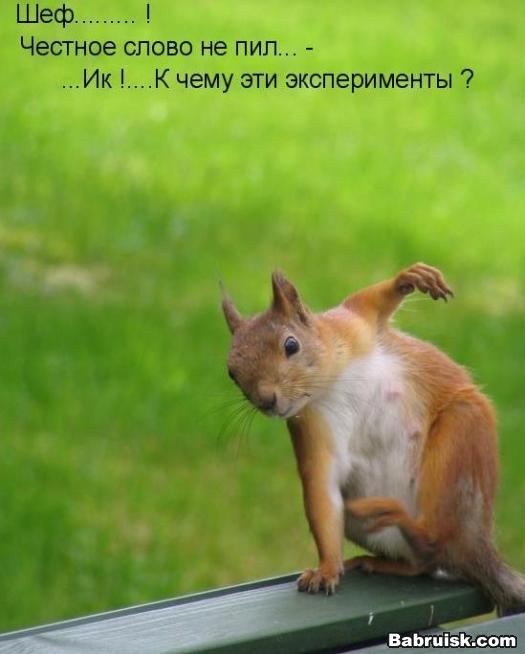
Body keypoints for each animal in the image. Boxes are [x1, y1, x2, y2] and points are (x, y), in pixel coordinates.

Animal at [221, 263, 525, 616]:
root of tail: (477, 545)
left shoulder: (354, 322)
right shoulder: (312, 429)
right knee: (426, 560)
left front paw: (411, 278)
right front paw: (326, 569)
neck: (331, 380)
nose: (266, 401)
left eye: (291, 345)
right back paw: (382, 558)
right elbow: (321, 491)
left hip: (459, 443)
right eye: (232, 373)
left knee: (438, 540)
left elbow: (373, 300)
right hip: (361, 521)